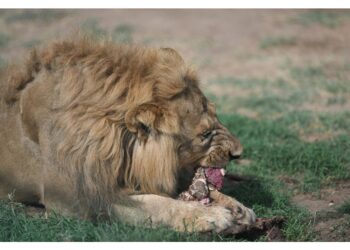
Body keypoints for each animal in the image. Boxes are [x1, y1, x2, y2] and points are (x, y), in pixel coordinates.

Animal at [0, 38, 258, 232]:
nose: (239, 153)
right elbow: (155, 204)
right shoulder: (74, 198)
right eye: (205, 134)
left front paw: (237, 208)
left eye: (217, 116)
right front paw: (210, 216)